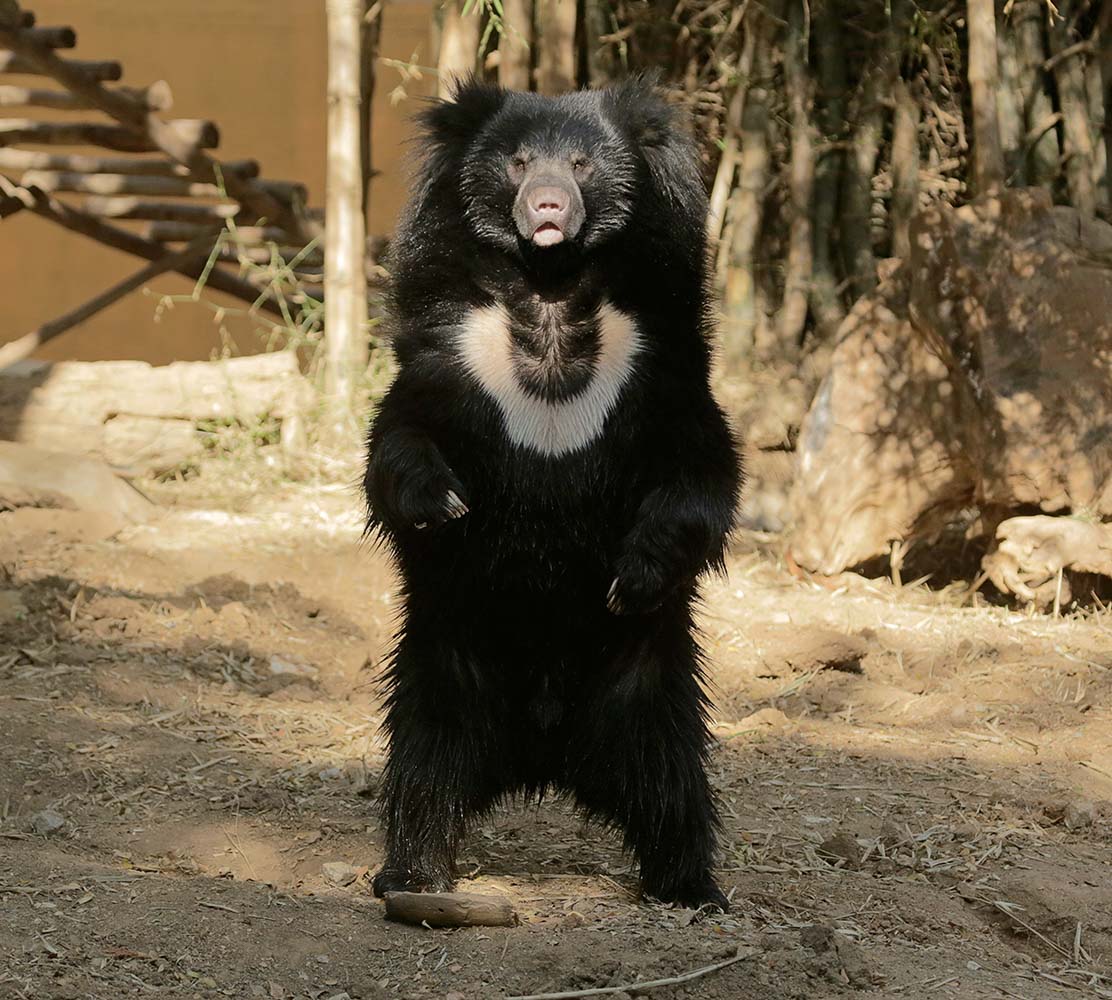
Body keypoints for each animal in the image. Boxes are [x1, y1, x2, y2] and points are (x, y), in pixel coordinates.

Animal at [364, 76, 742, 907]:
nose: (545, 207)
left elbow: (700, 474)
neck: (549, 294)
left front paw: (633, 577)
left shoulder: (657, 365)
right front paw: (444, 505)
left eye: (580, 165)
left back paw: (691, 887)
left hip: (647, 687)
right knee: (424, 771)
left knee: (674, 785)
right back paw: (413, 876)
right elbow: (398, 444)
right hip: (446, 666)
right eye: (517, 163)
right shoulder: (450, 357)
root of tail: (544, 760)